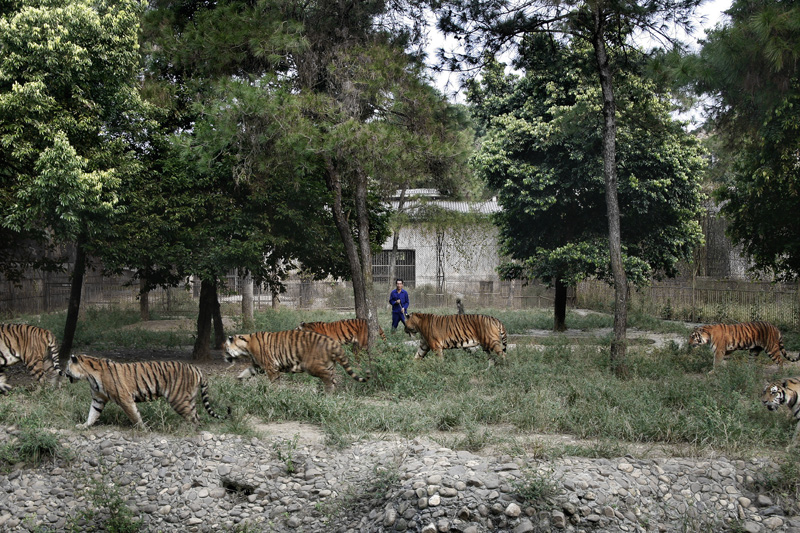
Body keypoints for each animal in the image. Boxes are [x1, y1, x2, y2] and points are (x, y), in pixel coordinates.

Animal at [64, 354, 230, 428]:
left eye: (67, 367)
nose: (64, 374)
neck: (89, 376)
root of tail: (197, 369)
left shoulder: (125, 399)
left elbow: (134, 415)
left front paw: (142, 429)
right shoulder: (98, 399)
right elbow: (93, 414)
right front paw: (84, 425)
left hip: (179, 400)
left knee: (193, 418)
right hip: (190, 399)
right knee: (197, 416)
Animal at [225, 328, 368, 390]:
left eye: (226, 348)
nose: (225, 358)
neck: (247, 347)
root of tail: (333, 343)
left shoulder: (270, 367)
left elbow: (274, 381)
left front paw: (274, 392)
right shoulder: (257, 366)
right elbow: (246, 372)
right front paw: (239, 380)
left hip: (312, 366)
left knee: (329, 380)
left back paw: (326, 394)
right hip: (330, 365)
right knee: (333, 380)